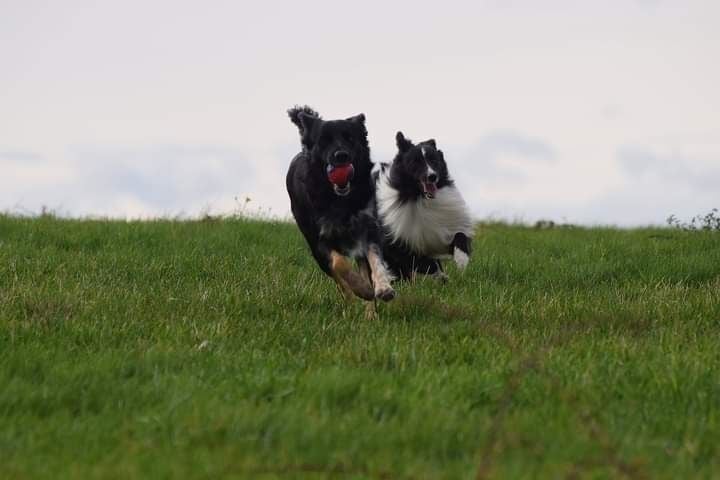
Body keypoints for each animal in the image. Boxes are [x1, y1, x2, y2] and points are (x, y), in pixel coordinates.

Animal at [286, 106, 396, 304]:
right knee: (337, 277)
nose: (341, 156)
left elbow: (376, 260)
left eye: (350, 138)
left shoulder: (368, 227)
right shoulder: (319, 240)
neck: (339, 200)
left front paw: (383, 288)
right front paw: (361, 288)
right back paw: (352, 297)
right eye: (323, 140)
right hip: (314, 248)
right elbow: (339, 264)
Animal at [374, 132, 476, 282]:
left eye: (434, 160)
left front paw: (461, 260)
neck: (420, 199)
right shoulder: (396, 242)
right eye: (415, 162)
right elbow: (422, 262)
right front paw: (440, 276)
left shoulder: (441, 234)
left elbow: (460, 235)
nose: (432, 176)